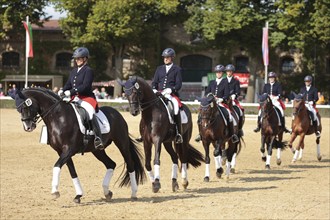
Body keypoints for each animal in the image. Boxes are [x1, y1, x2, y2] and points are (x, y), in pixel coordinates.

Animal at [13, 87, 144, 203]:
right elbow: (72, 171)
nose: (28, 127)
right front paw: (78, 195)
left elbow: (56, 166)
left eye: (25, 106)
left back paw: (133, 193)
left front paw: (55, 191)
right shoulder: (61, 151)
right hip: (97, 150)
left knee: (130, 164)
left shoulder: (69, 149)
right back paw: (107, 192)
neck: (58, 117)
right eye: (18, 109)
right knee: (111, 164)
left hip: (122, 143)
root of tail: (117, 113)